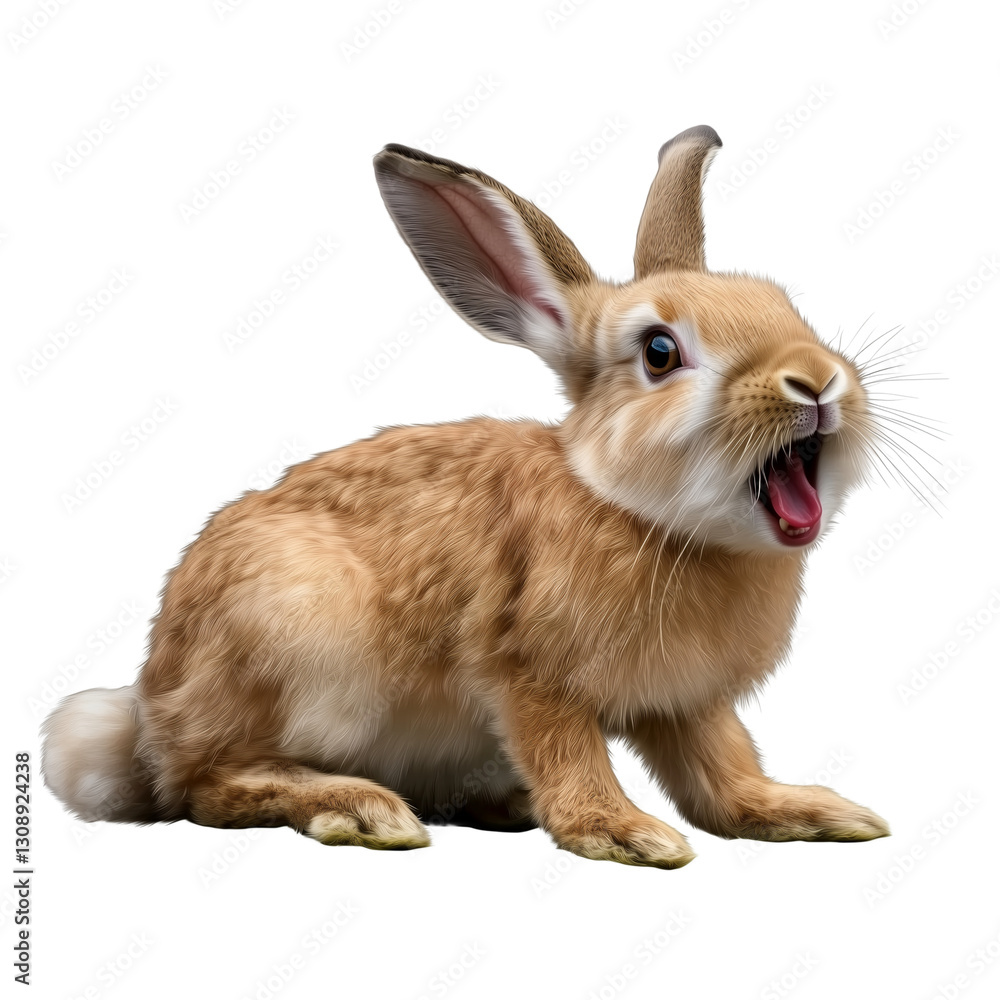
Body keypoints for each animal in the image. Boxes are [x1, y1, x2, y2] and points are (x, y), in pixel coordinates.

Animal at [42, 125, 890, 869]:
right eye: (659, 352)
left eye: (784, 307)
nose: (817, 381)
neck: (642, 515)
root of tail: (149, 716)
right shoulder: (529, 674)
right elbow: (571, 755)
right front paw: (622, 834)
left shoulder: (688, 704)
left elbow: (723, 772)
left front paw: (813, 812)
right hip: (298, 641)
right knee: (206, 785)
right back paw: (360, 808)